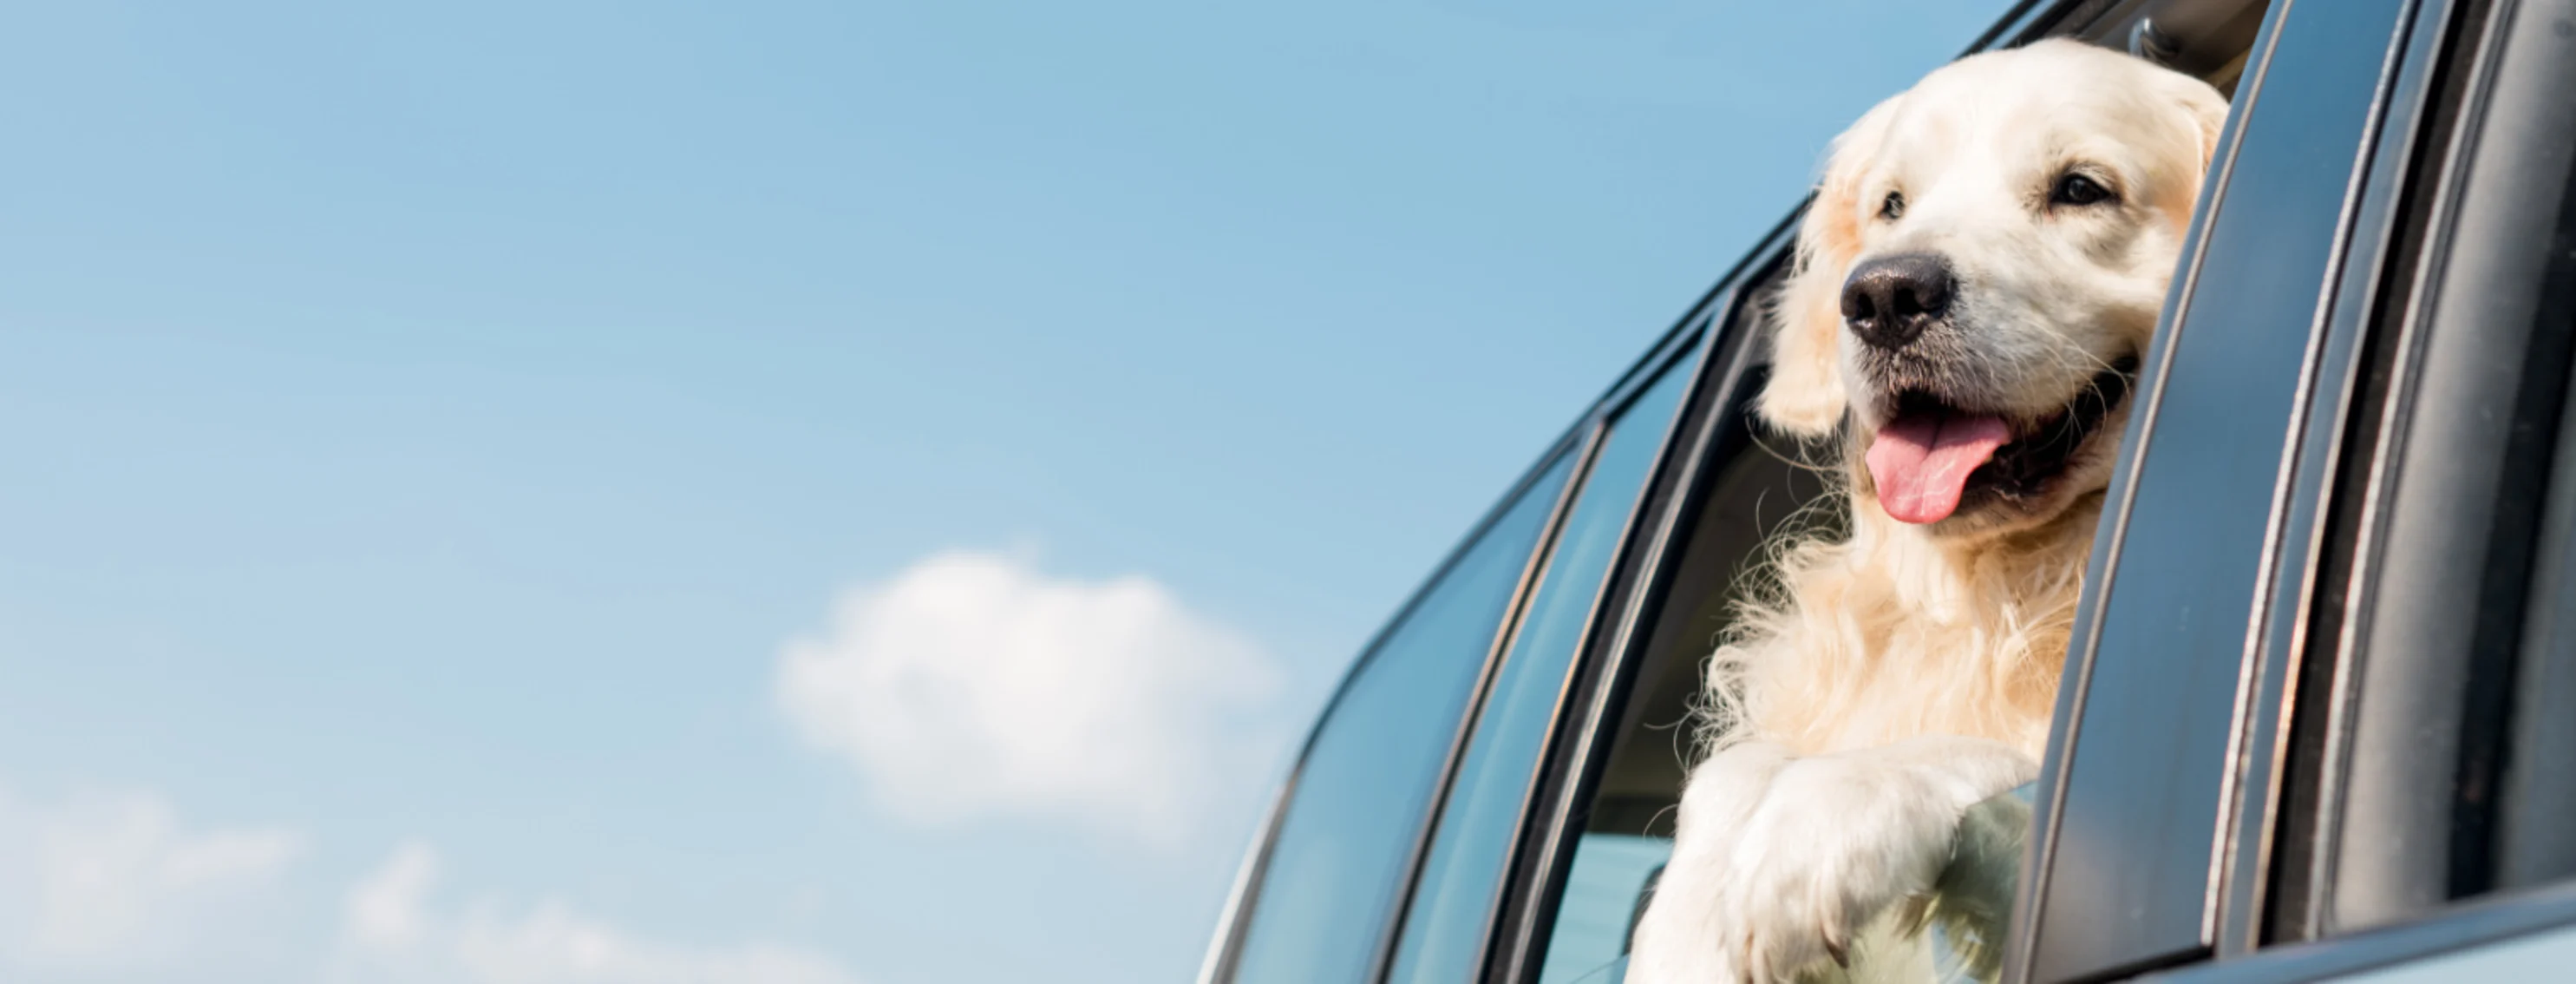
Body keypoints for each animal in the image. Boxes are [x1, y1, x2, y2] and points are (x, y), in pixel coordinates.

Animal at [1638, 38, 2226, 984]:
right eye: (1892, 205)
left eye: (2080, 188)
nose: (1882, 297)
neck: (1989, 591)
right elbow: (1730, 773)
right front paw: (1688, 922)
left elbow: (1988, 755)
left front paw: (1823, 821)